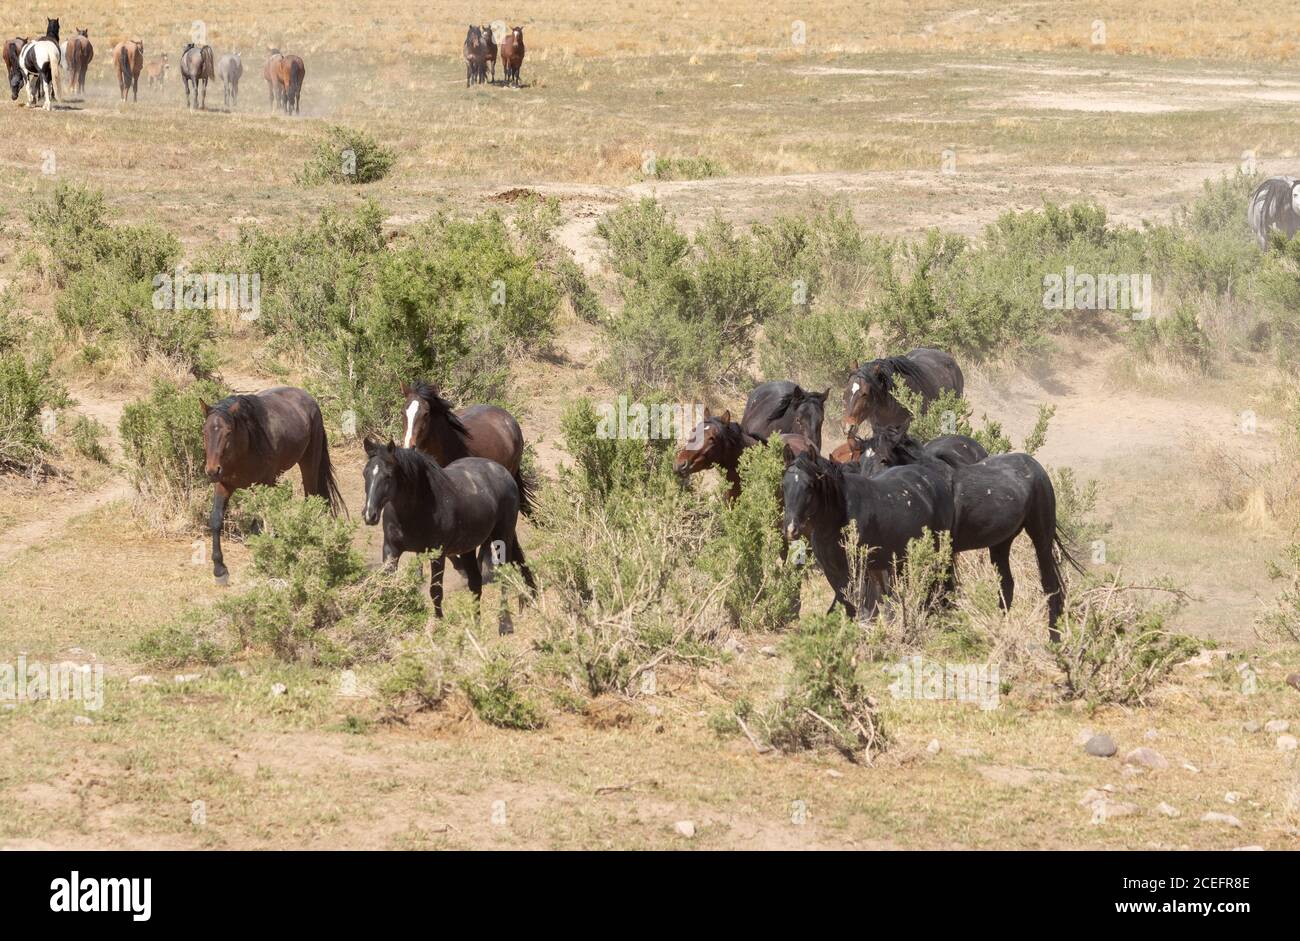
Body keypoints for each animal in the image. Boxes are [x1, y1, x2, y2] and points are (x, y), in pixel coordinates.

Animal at [361, 439, 533, 631]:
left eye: (388, 476)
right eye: (365, 473)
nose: (369, 515)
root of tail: (503, 471)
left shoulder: (437, 554)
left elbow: (435, 591)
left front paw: (439, 624)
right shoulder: (391, 550)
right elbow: (386, 585)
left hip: (501, 537)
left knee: (505, 576)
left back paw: (505, 625)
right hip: (468, 548)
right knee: (476, 582)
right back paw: (478, 624)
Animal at [780, 449, 956, 618]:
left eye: (810, 485)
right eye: (784, 485)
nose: (790, 529)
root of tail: (937, 481)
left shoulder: (857, 570)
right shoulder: (832, 572)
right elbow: (847, 604)